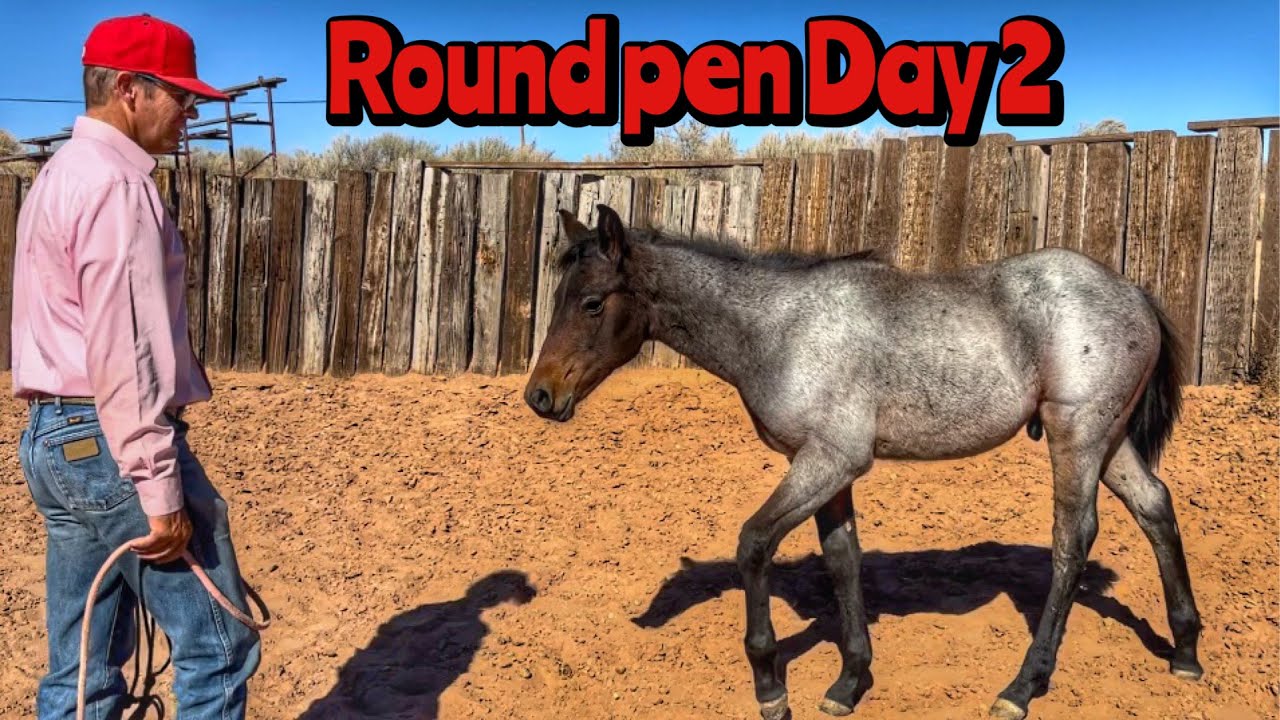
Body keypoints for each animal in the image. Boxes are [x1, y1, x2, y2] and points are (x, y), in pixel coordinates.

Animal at [522, 203, 1203, 720]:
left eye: (591, 302)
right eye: (560, 296)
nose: (540, 396)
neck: (780, 328)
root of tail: (1133, 291)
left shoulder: (829, 459)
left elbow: (753, 544)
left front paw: (771, 688)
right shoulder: (830, 470)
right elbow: (842, 561)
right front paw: (849, 683)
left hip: (1077, 437)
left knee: (1073, 540)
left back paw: (1021, 687)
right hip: (1108, 441)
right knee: (1155, 506)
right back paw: (1186, 651)